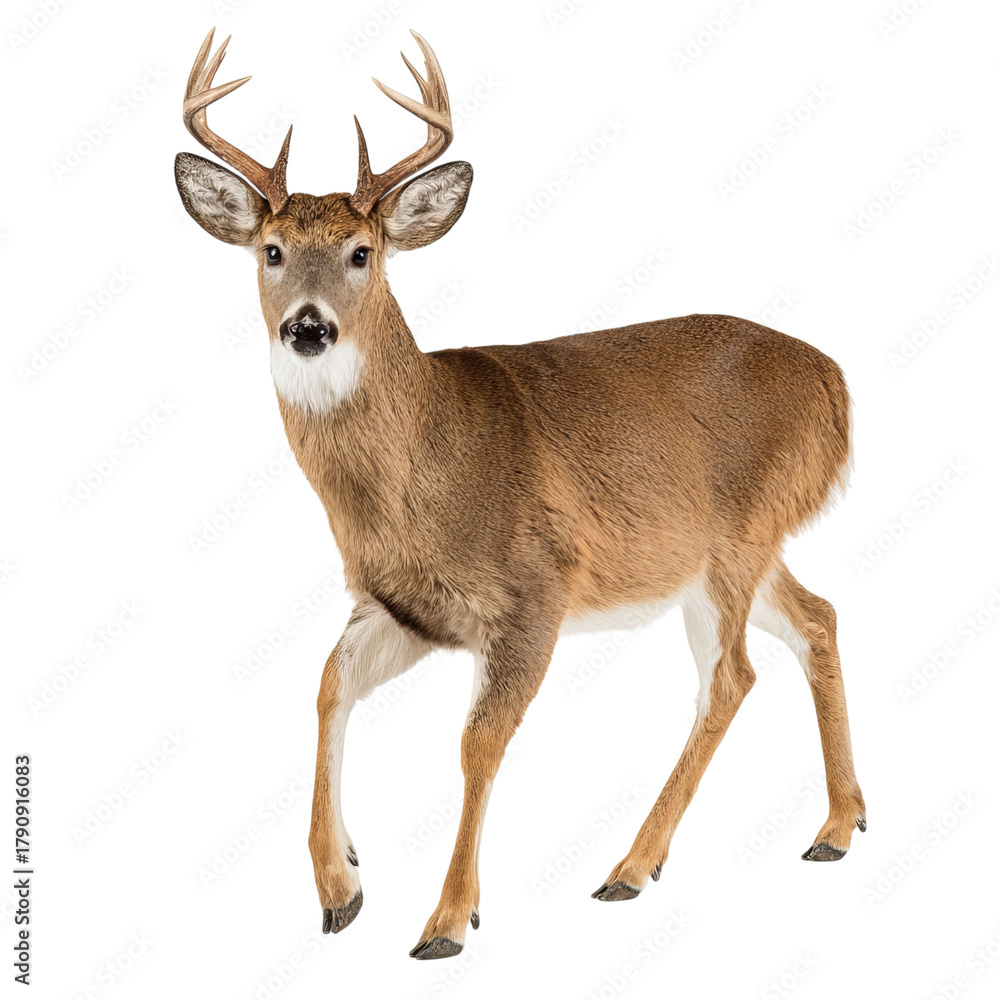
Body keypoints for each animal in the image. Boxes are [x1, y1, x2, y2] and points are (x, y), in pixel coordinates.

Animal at [174, 28, 866, 960]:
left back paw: (630, 867)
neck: (425, 473)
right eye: (271, 250)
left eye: (363, 252)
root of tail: (836, 384)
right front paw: (339, 885)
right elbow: (326, 685)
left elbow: (476, 742)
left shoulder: (537, 589)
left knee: (731, 677)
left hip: (738, 535)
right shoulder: (400, 604)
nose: (308, 326)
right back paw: (836, 827)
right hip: (726, 552)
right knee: (817, 617)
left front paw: (446, 920)